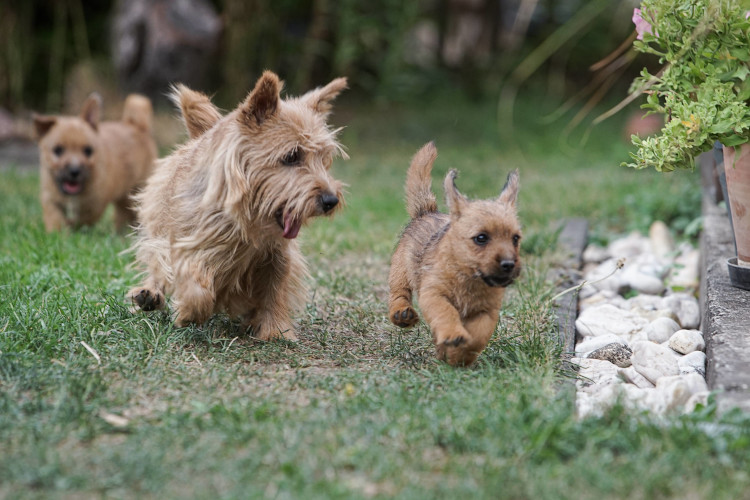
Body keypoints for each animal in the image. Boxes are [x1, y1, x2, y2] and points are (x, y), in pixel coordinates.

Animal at [34, 93, 158, 230]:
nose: (74, 171)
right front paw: (57, 231)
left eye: (88, 151)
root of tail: (137, 125)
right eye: (58, 150)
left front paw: (72, 226)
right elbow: (54, 218)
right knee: (123, 212)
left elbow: (82, 220)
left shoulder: (95, 205)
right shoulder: (49, 198)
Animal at [130, 72, 350, 342]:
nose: (331, 201)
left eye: (324, 160)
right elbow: (196, 285)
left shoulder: (277, 255)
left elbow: (275, 288)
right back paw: (149, 293)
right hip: (158, 224)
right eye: (291, 156)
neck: (246, 222)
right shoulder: (186, 243)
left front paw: (275, 329)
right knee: (155, 264)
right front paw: (189, 312)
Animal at [388, 143, 524, 366]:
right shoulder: (434, 294)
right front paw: (453, 336)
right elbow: (446, 312)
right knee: (399, 293)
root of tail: (427, 210)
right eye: (481, 238)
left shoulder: (487, 311)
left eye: (515, 239)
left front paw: (459, 355)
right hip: (401, 270)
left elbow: (478, 336)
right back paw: (401, 314)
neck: (469, 277)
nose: (508, 264)